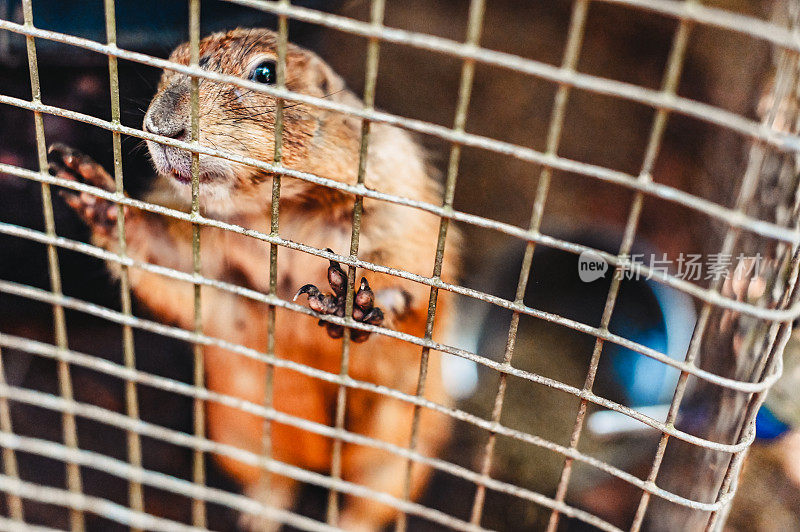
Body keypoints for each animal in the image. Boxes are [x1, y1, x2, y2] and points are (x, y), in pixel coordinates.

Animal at [50, 28, 460, 528]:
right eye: (170, 61)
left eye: (266, 72)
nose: (159, 127)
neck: (274, 213)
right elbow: (177, 267)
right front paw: (91, 188)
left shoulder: (400, 209)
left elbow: (416, 298)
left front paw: (352, 306)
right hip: (238, 436)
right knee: (276, 479)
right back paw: (260, 511)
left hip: (396, 460)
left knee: (366, 502)